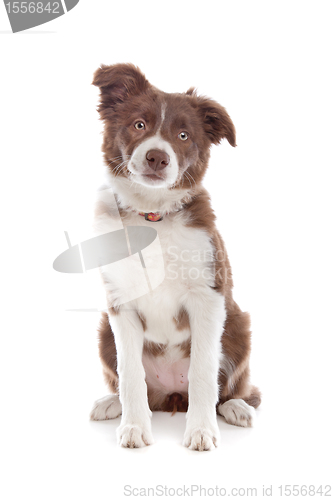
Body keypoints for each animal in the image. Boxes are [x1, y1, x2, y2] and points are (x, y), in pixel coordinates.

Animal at [89, 62, 260, 450]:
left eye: (183, 135)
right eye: (139, 125)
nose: (157, 156)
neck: (153, 217)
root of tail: (170, 396)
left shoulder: (208, 297)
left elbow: (203, 372)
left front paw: (201, 431)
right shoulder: (120, 304)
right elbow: (131, 372)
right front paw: (134, 427)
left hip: (239, 327)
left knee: (230, 388)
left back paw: (236, 407)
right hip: (104, 331)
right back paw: (111, 403)